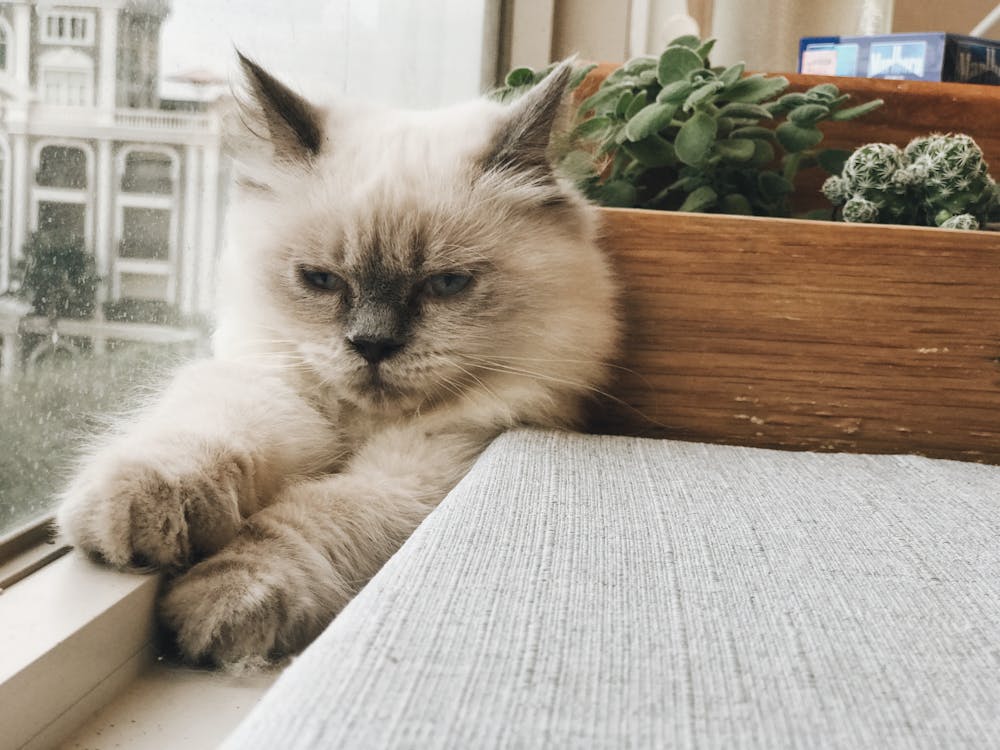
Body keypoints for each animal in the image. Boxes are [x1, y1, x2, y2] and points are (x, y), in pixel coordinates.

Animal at [54, 54, 620, 668]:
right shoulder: (275, 386)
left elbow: (315, 516)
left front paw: (225, 600)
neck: (357, 427)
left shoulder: (430, 471)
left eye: (447, 284)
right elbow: (212, 434)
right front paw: (141, 512)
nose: (371, 345)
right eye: (321, 281)